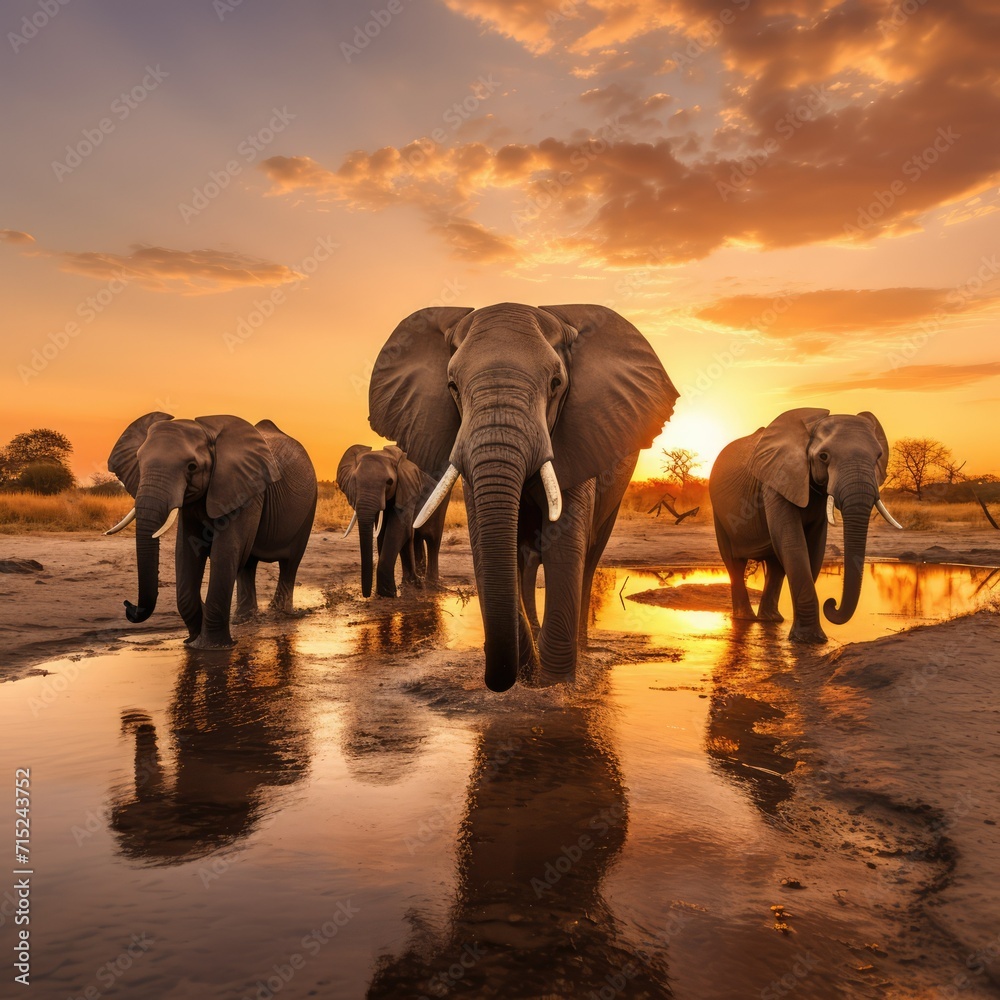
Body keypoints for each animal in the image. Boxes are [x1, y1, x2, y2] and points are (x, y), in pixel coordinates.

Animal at [106, 412, 317, 648]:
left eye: (192, 467)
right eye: (139, 463)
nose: (128, 606)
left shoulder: (246, 489)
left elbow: (224, 552)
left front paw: (211, 647)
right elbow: (187, 553)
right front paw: (192, 641)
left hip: (309, 506)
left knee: (290, 562)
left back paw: (281, 614)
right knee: (247, 564)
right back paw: (244, 619)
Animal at [336, 444, 448, 598]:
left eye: (389, 482)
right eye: (354, 481)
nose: (366, 595)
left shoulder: (407, 492)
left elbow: (397, 530)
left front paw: (387, 593)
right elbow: (383, 533)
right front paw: (388, 591)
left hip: (438, 505)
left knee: (432, 539)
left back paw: (431, 583)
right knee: (414, 538)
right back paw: (414, 582)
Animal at [368, 303, 677, 691]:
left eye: (556, 384)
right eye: (452, 386)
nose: (498, 681)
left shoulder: (579, 437)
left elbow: (565, 544)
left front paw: (555, 685)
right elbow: (488, 545)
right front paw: (531, 674)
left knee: (589, 557)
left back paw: (581, 651)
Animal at [709, 408, 902, 643]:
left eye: (878, 456)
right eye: (824, 456)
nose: (832, 603)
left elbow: (814, 548)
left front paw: (809, 637)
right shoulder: (778, 479)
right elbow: (793, 543)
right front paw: (808, 639)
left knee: (775, 565)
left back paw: (771, 619)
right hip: (719, 512)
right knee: (735, 563)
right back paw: (745, 618)